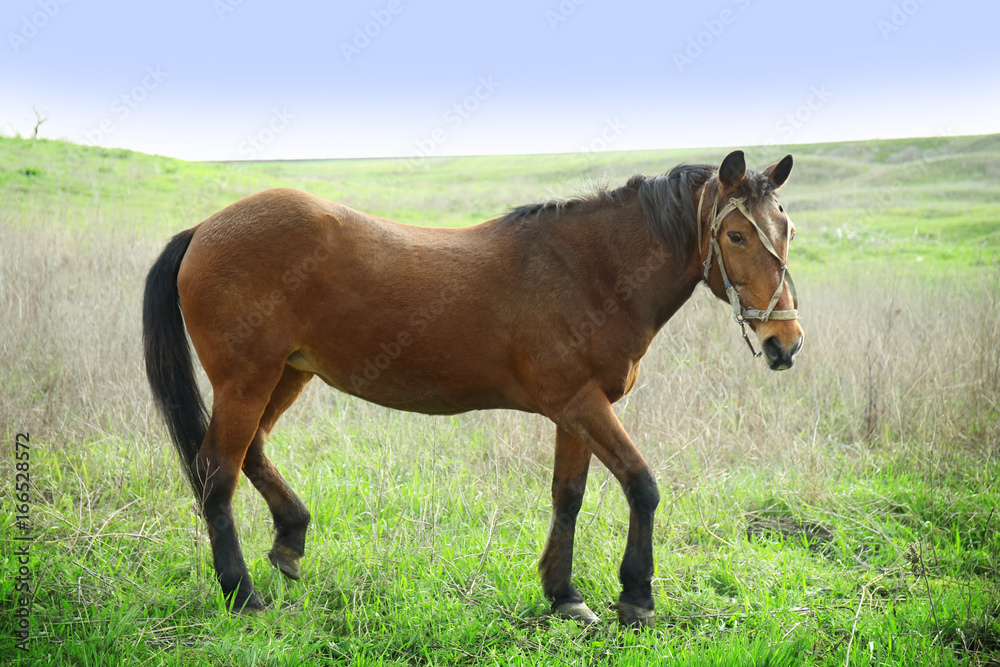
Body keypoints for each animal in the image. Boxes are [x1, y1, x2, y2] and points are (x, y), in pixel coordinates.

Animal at [142, 149, 802, 627]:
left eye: (787, 230)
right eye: (737, 237)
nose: (785, 342)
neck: (589, 271)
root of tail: (204, 228)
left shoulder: (576, 412)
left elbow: (568, 497)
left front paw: (564, 594)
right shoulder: (582, 405)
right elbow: (642, 484)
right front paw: (636, 595)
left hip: (286, 373)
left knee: (248, 452)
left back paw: (290, 538)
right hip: (247, 379)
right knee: (217, 471)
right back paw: (241, 593)